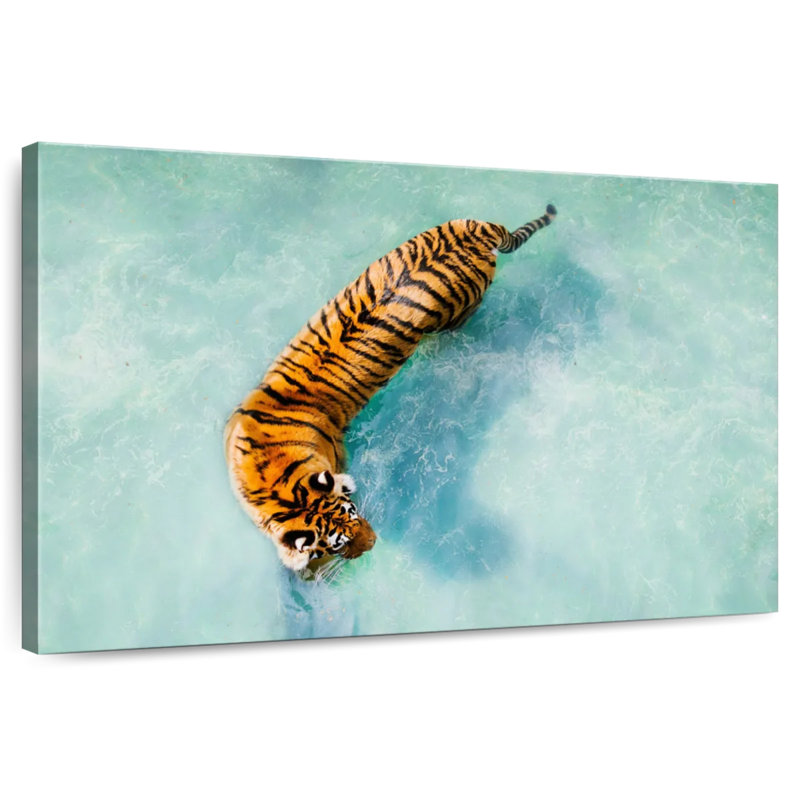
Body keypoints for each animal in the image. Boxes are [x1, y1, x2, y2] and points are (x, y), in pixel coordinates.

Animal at [224, 204, 557, 573]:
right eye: (338, 544)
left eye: (354, 512)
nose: (374, 542)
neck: (271, 476)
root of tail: (481, 229)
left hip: (458, 315)